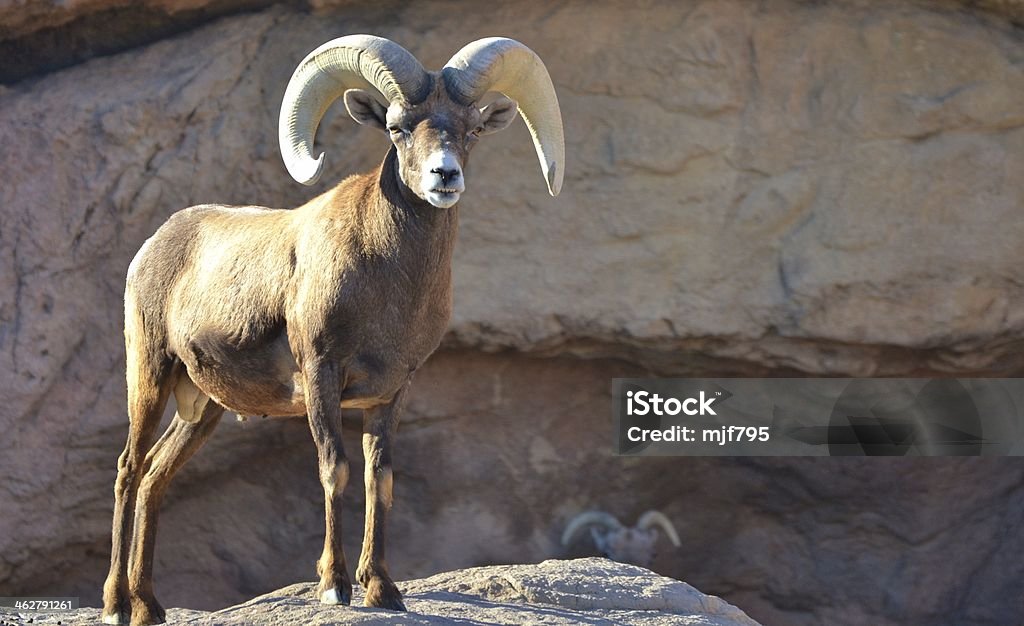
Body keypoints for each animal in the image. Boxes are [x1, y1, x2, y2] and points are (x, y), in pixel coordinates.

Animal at [99, 35, 565, 626]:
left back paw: (149, 606)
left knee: (156, 476)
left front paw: (383, 589)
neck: (386, 282)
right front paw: (334, 586)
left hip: (201, 408)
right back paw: (117, 605)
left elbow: (378, 477)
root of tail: (153, 246)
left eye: (472, 129)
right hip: (151, 376)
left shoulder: (392, 391)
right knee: (129, 469)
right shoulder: (322, 374)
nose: (444, 176)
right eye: (397, 126)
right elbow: (334, 470)